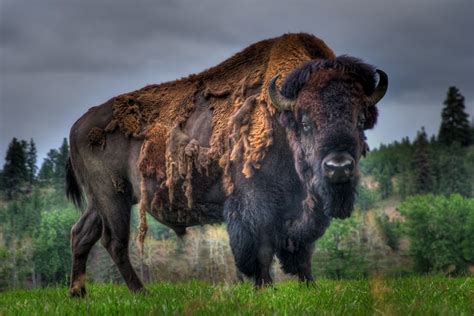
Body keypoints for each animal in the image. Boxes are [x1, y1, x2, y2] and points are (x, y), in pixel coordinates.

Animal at [66, 33, 388, 298]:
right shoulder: (255, 203)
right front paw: (265, 288)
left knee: (82, 233)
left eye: (360, 119)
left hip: (100, 201)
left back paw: (78, 293)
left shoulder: (302, 208)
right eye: (305, 122)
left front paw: (310, 286)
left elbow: (302, 250)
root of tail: (78, 124)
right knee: (114, 241)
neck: (281, 118)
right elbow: (261, 248)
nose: (338, 167)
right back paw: (141, 292)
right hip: (113, 197)